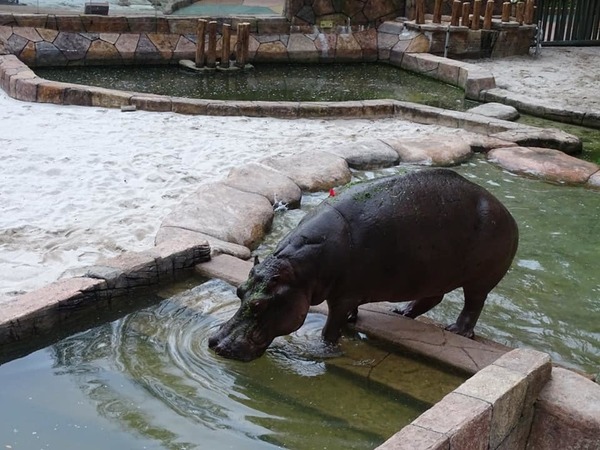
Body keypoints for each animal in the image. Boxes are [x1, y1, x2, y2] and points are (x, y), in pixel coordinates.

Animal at [209, 169, 516, 362]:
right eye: (239, 292)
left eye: (260, 304)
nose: (216, 343)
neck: (297, 272)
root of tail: (506, 212)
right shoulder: (350, 292)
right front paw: (353, 320)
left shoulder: (343, 295)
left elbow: (330, 328)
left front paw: (328, 346)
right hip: (434, 273)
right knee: (432, 297)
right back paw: (401, 312)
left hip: (481, 280)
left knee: (473, 304)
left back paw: (456, 330)